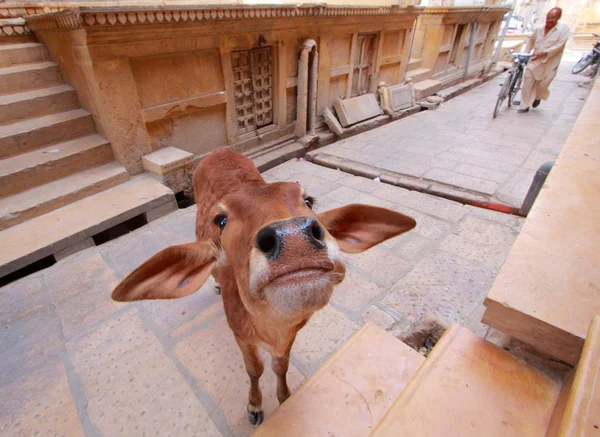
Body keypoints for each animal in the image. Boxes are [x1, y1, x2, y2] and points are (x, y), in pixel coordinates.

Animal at [110, 151, 414, 426]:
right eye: (221, 219)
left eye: (308, 200)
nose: (293, 238)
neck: (270, 329)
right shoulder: (240, 334)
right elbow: (254, 369)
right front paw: (255, 406)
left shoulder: (292, 332)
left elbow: (281, 365)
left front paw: (284, 397)